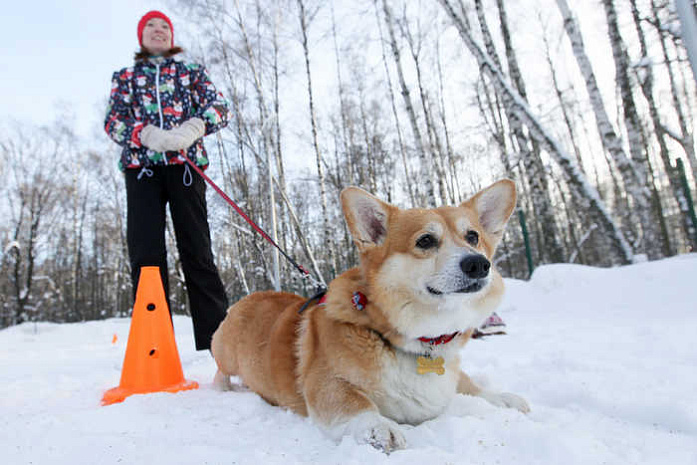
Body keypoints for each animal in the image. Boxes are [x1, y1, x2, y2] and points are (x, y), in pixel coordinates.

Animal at [212, 179, 528, 452]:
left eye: (473, 236)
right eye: (425, 241)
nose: (479, 264)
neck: (414, 341)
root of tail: (249, 296)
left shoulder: (449, 376)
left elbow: (470, 385)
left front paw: (502, 398)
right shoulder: (325, 383)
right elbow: (357, 403)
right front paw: (379, 427)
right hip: (225, 353)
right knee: (220, 370)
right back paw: (223, 387)